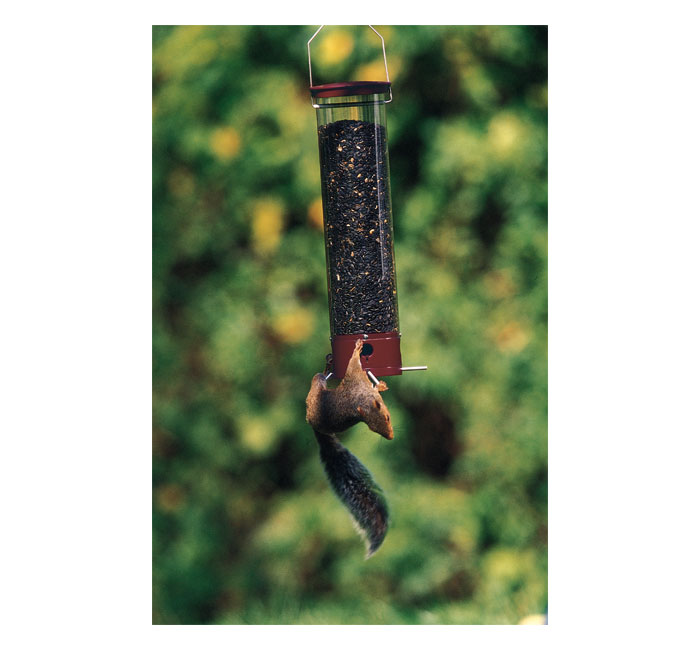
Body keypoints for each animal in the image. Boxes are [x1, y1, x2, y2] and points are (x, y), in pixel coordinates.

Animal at [306, 338, 394, 558]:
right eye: (374, 427)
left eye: (387, 418)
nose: (390, 436)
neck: (361, 399)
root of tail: (314, 425)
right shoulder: (355, 376)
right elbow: (353, 363)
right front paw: (357, 348)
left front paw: (381, 385)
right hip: (316, 387)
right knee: (318, 378)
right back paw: (327, 367)